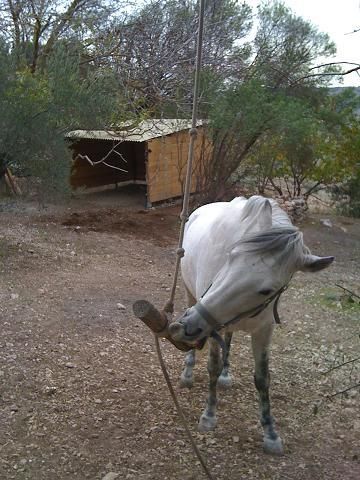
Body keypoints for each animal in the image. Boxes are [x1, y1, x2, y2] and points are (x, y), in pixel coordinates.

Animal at [169, 195, 334, 454]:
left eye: (266, 290)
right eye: (231, 256)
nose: (188, 325)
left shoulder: (263, 331)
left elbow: (262, 378)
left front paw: (270, 433)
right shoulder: (210, 322)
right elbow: (212, 366)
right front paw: (209, 416)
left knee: (229, 339)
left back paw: (226, 374)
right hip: (190, 295)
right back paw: (188, 374)